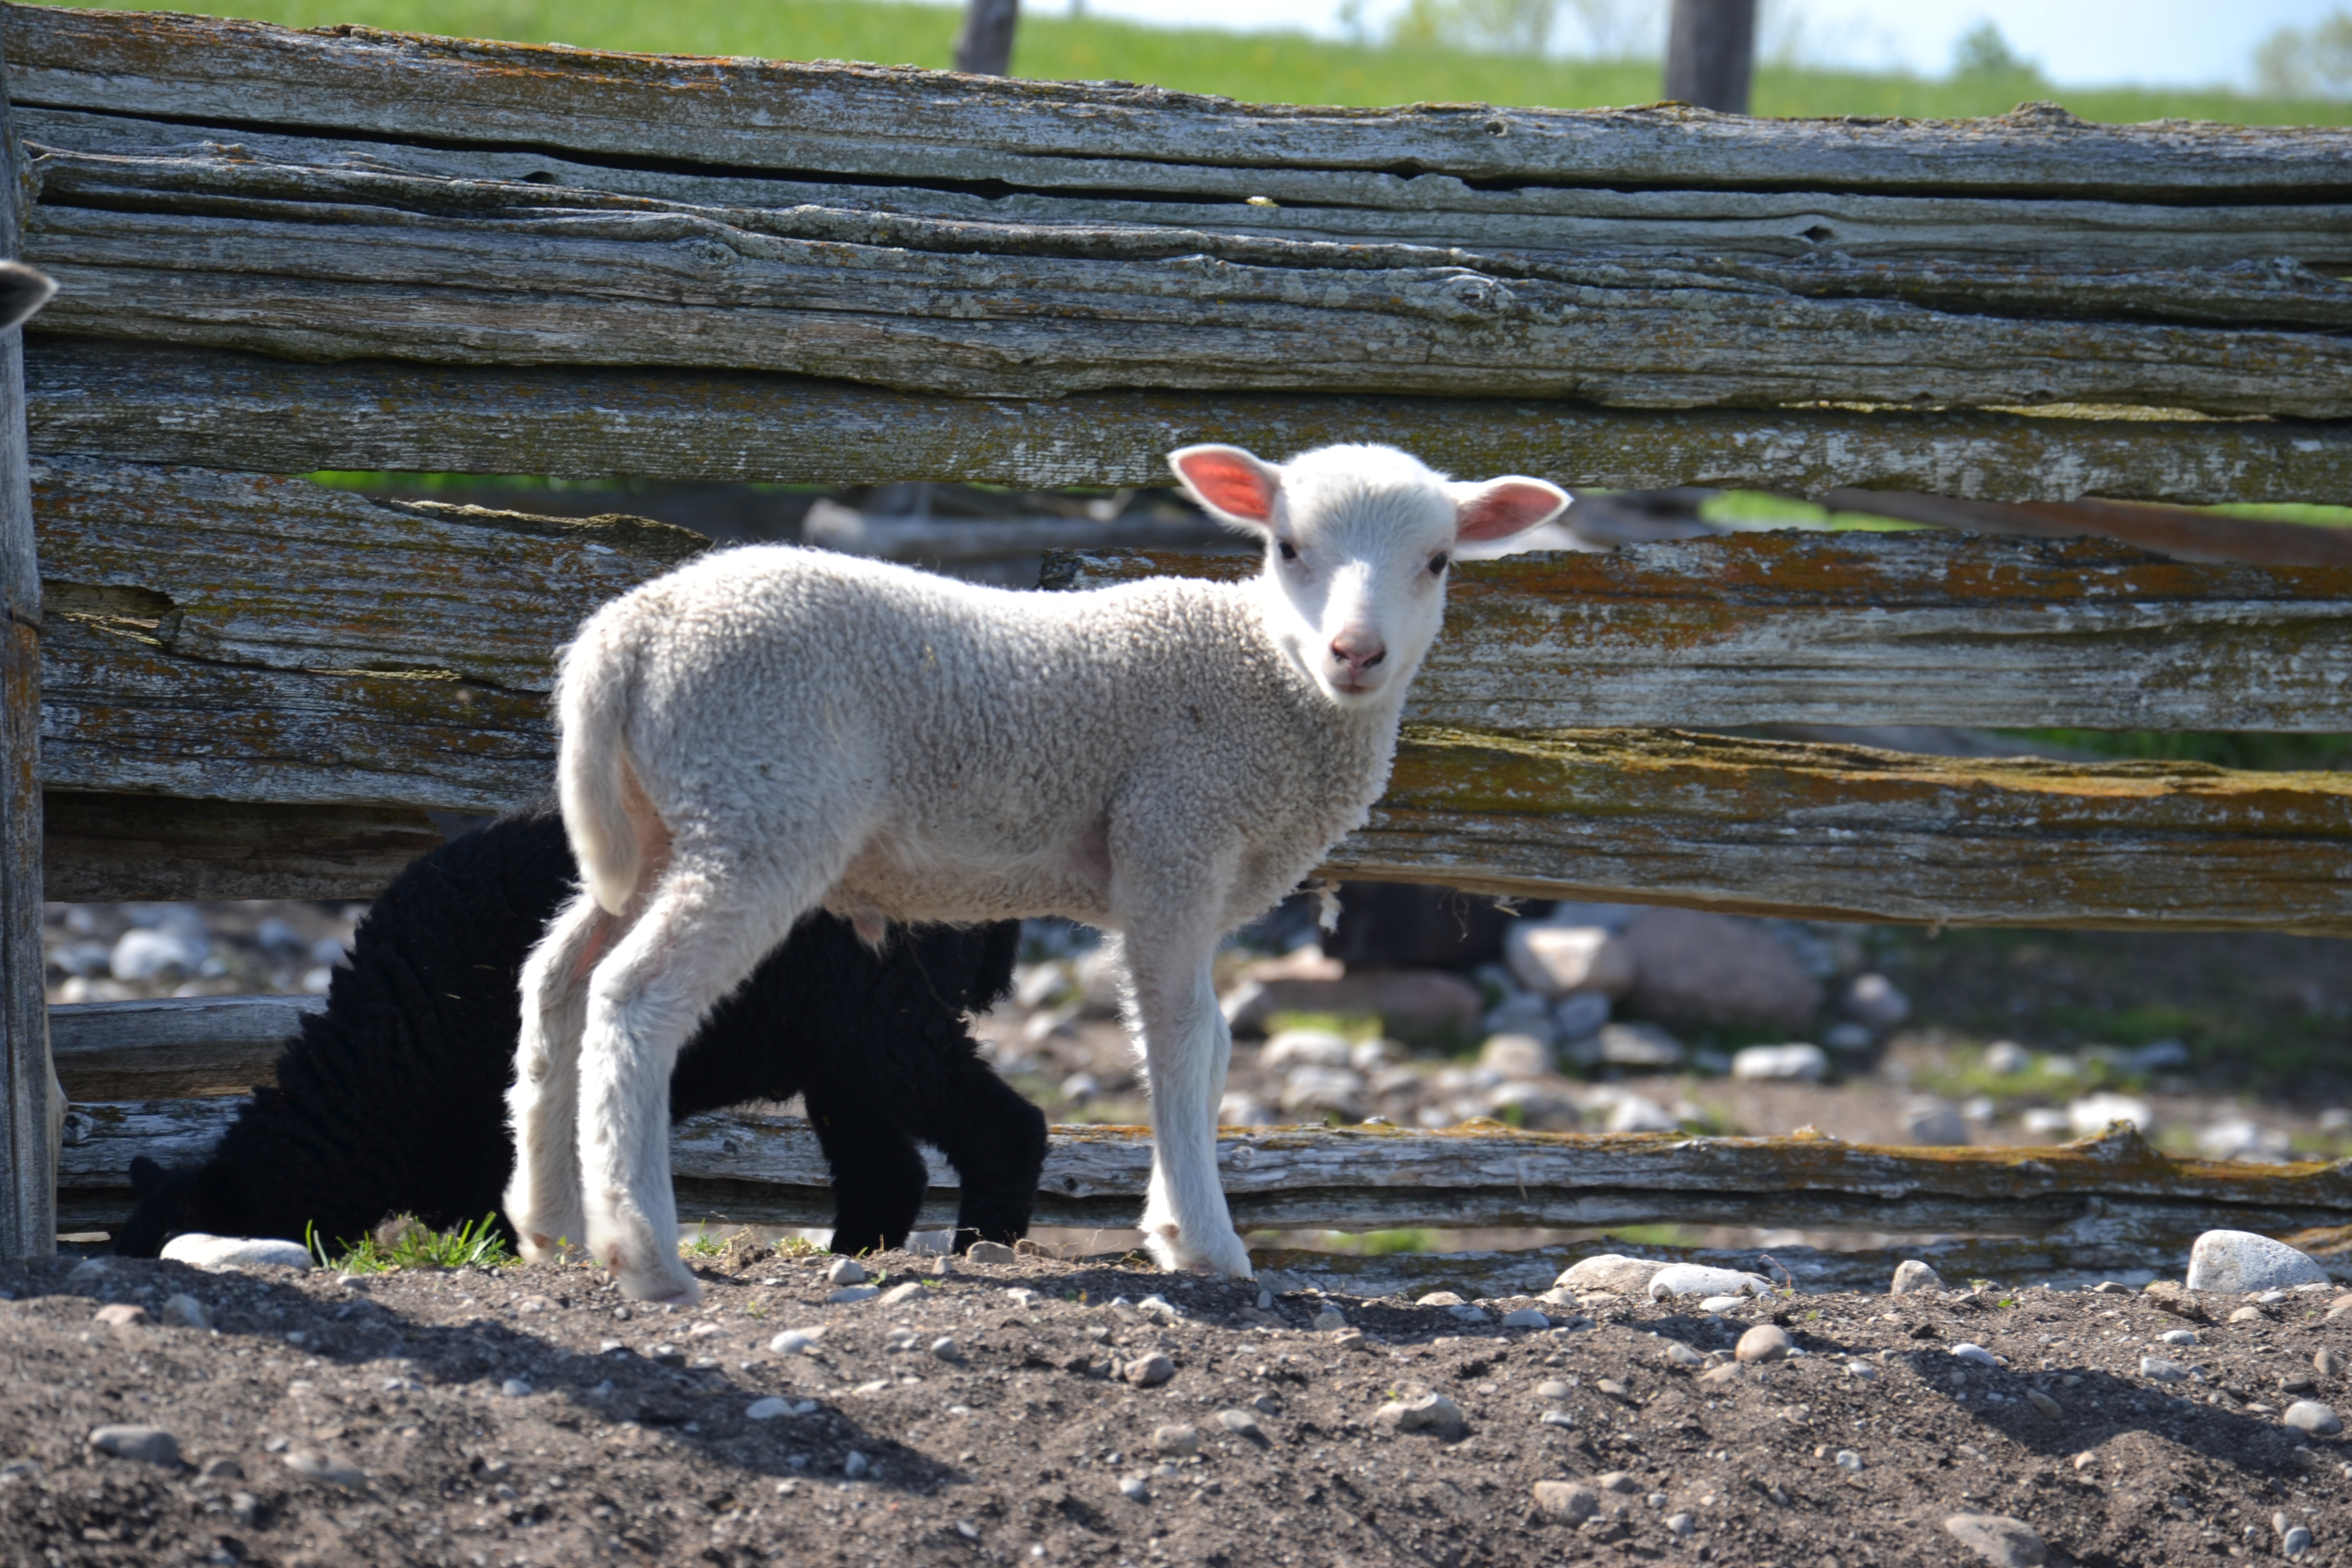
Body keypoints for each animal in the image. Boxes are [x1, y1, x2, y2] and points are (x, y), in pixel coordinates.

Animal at [110, 808, 1049, 1260]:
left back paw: (981, 1250)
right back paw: (851, 1254)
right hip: (843, 1050)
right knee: (887, 1174)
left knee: (1007, 1130)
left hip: (885, 1025)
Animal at [508, 442, 1561, 1297]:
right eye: (1288, 547)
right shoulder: (1172, 833)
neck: (1267, 675)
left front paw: (1168, 1221)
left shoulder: (1200, 872)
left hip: (663, 821)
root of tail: (631, 629)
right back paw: (643, 1252)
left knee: (560, 977)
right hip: (760, 807)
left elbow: (1216, 1044)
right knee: (636, 994)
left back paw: (549, 1219)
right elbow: (1181, 1036)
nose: (1356, 651)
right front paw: (1204, 1243)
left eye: (1437, 561)